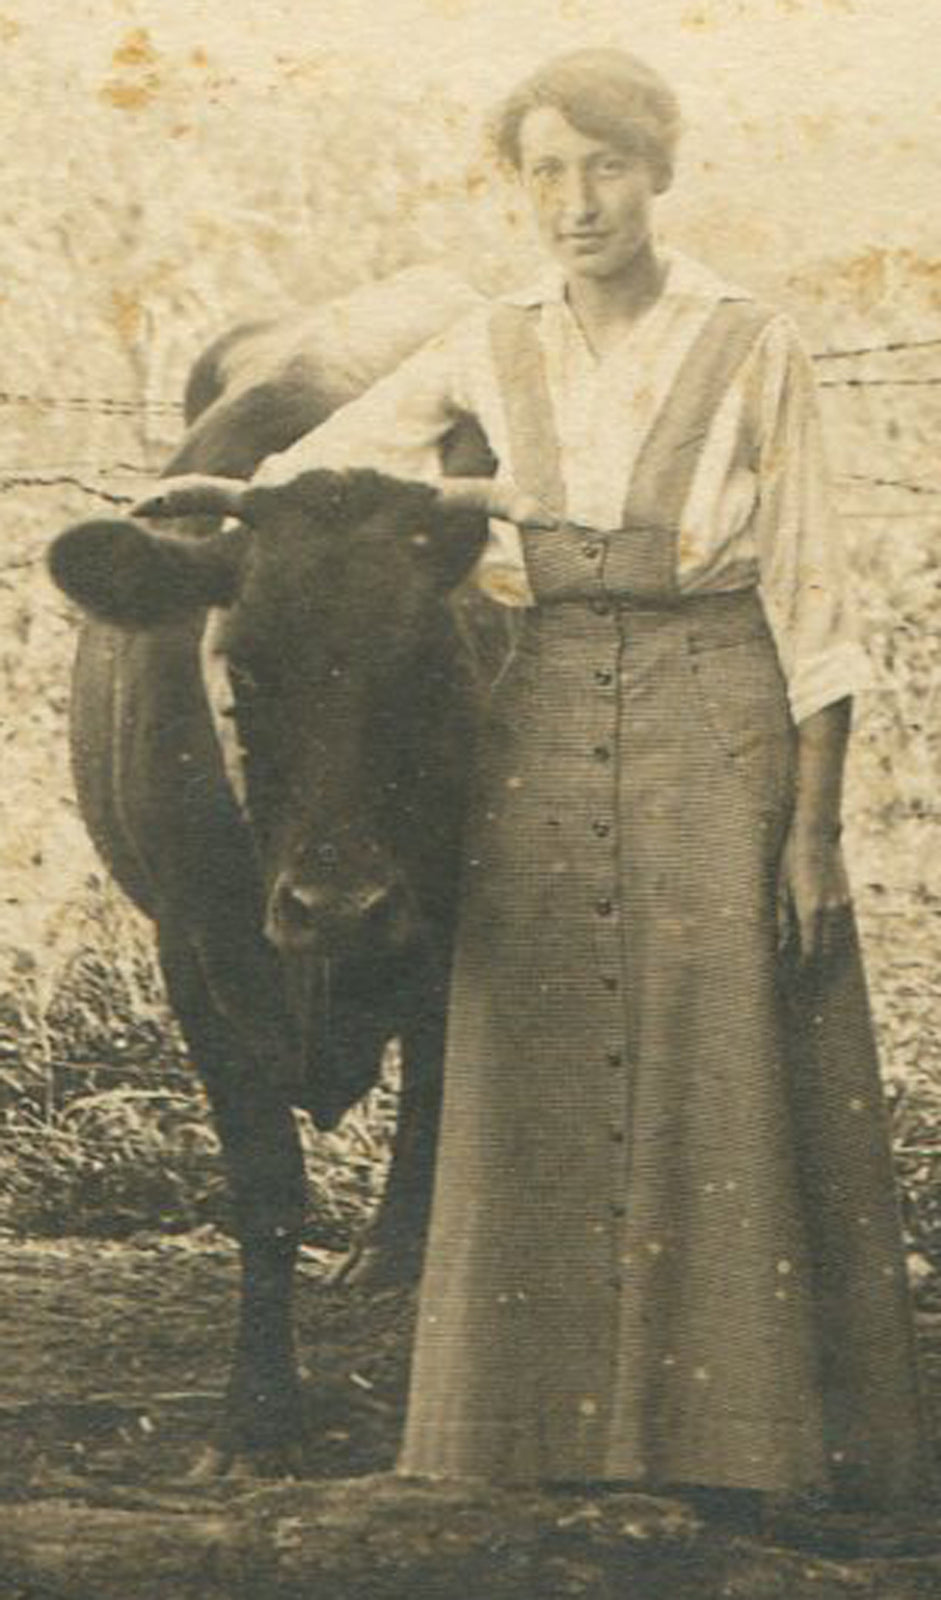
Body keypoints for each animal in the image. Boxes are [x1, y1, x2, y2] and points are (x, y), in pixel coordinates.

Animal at [46, 269, 501, 1473]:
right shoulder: (196, 949)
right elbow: (265, 1182)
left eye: (426, 666)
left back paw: (392, 1256)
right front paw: (257, 1418)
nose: (337, 904)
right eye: (242, 667)